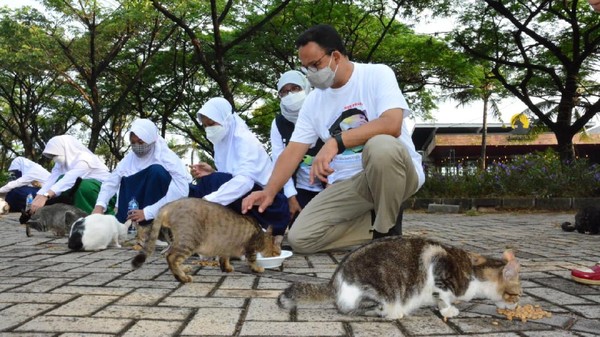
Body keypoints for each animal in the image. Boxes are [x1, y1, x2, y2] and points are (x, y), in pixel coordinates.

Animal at [131, 196, 278, 282]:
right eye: (277, 251)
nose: (278, 254)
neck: (261, 233)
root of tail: (169, 205)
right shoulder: (250, 247)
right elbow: (252, 261)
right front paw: (258, 268)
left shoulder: (224, 246)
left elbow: (224, 259)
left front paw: (227, 268)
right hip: (189, 241)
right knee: (171, 257)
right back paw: (182, 277)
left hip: (179, 240)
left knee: (171, 255)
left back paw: (183, 269)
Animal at [278, 235, 520, 318]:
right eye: (517, 294)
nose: (517, 305)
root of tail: (335, 280)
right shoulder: (439, 267)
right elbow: (443, 295)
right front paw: (449, 310)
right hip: (378, 290)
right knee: (361, 309)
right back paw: (394, 313)